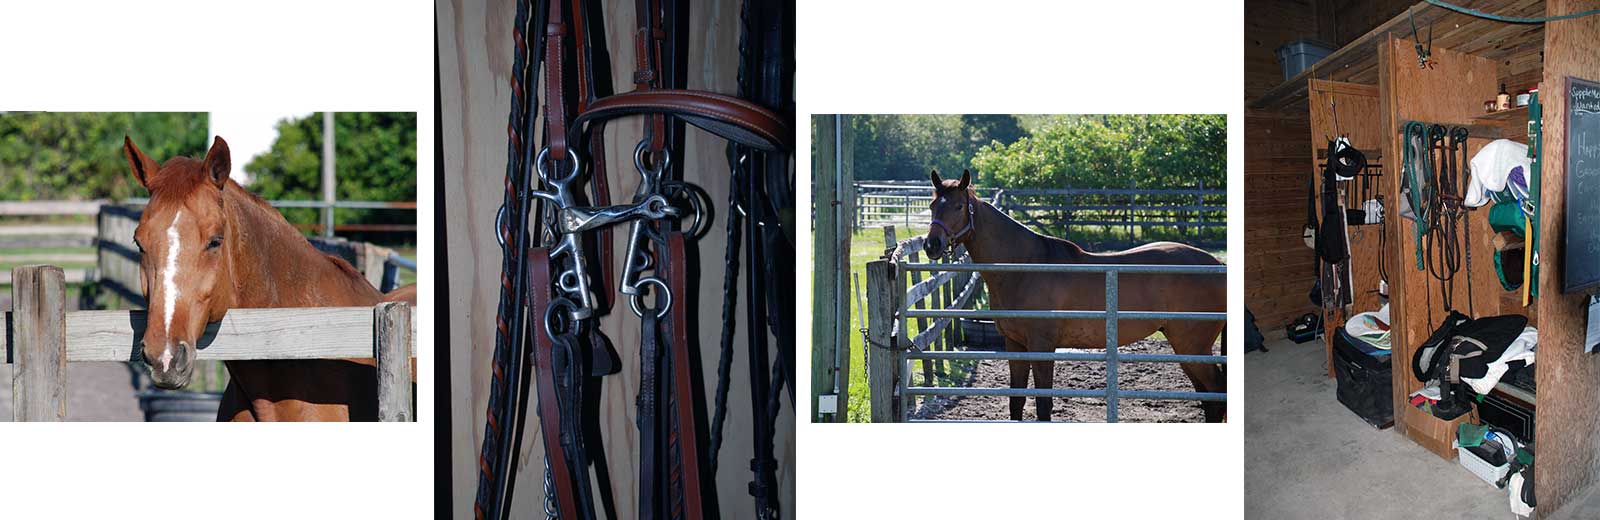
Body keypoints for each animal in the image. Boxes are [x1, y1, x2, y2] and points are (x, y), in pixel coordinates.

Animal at [921, 169, 1226, 422]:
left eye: (959, 206)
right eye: (933, 205)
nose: (931, 245)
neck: (1025, 266)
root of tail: (1217, 265)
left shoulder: (1042, 346)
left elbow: (1043, 405)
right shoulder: (1015, 344)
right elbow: (1016, 401)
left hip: (1192, 345)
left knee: (1215, 394)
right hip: (1186, 348)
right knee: (1209, 398)